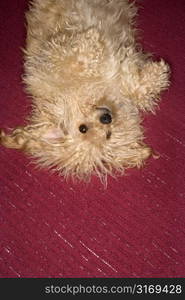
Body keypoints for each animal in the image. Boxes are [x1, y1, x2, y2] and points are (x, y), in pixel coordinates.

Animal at [0, 0, 171, 183]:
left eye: (108, 134)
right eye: (83, 129)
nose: (106, 118)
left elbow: (135, 87)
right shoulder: (54, 56)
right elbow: (78, 60)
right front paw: (92, 39)